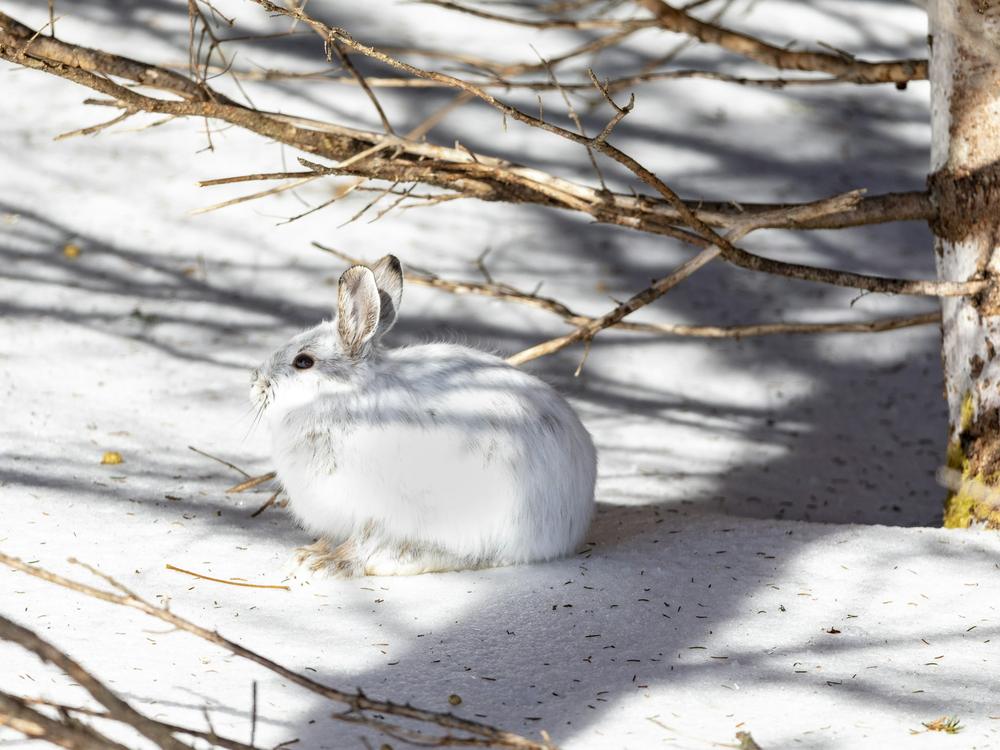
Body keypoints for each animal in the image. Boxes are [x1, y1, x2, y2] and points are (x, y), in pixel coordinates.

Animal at [250, 254, 597, 578]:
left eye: (303, 362)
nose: (256, 383)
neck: (345, 398)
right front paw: (309, 554)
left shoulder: (377, 510)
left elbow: (362, 542)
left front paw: (327, 565)